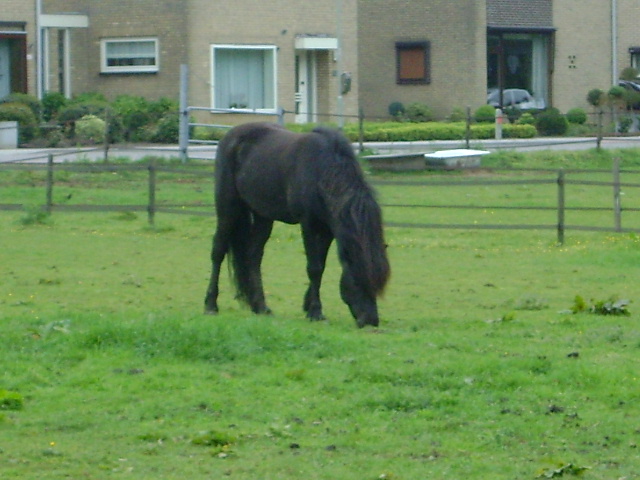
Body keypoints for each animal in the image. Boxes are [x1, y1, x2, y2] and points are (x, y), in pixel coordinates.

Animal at [204, 122, 390, 328]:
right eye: (358, 280)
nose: (371, 320)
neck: (322, 171)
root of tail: (229, 136)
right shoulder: (308, 224)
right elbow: (314, 268)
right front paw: (315, 312)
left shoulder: (327, 230)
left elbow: (321, 266)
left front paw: (308, 305)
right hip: (228, 208)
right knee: (218, 251)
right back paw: (211, 305)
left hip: (263, 216)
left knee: (253, 256)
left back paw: (261, 306)